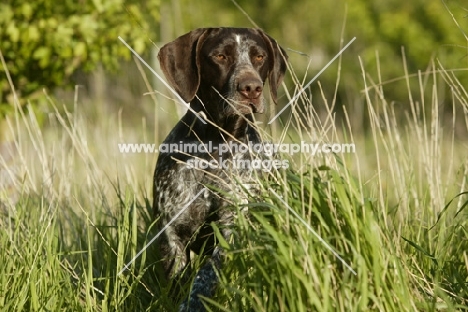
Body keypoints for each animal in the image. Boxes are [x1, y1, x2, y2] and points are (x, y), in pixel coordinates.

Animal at [154, 28, 288, 310]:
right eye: (219, 56)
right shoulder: (171, 232)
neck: (216, 145)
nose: (251, 88)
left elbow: (205, 275)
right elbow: (177, 279)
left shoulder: (230, 228)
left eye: (259, 56)